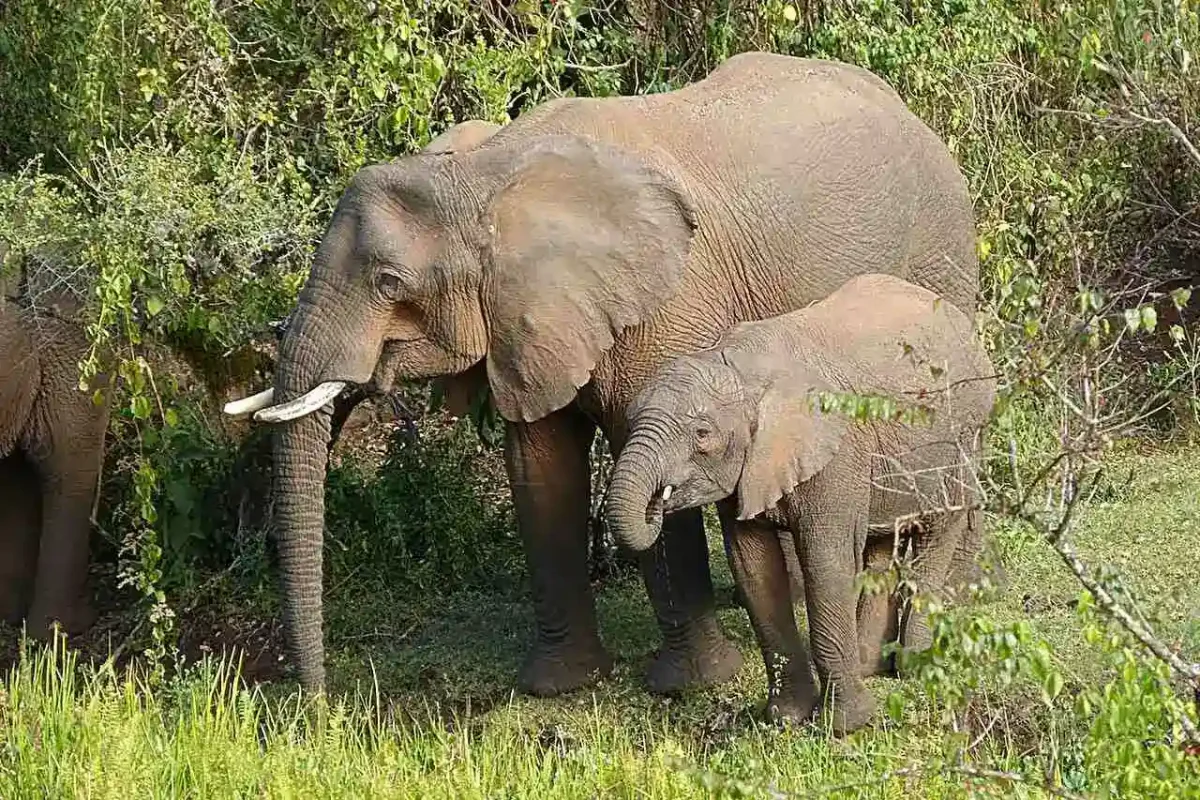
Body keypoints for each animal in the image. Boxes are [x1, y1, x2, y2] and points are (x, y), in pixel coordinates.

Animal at [222, 52, 980, 696]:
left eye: (388, 282)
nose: (316, 701)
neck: (487, 172)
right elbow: (539, 466)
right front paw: (559, 685)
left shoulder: (670, 301)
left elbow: (642, 453)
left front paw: (689, 685)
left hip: (942, 251)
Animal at [604, 274, 997, 734]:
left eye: (702, 434)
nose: (657, 502)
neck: (738, 368)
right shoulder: (751, 469)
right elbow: (754, 568)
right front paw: (785, 718)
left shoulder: (837, 451)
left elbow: (826, 564)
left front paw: (845, 726)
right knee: (880, 545)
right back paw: (870, 667)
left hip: (962, 435)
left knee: (934, 535)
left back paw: (914, 668)